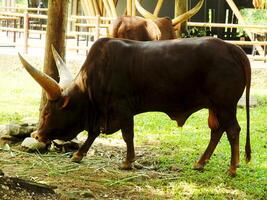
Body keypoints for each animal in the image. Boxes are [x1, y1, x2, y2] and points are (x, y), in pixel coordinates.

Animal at [18, 36, 251, 176]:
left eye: (46, 112)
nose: (37, 134)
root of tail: (231, 48)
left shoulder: (122, 109)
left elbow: (127, 135)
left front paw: (127, 162)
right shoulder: (102, 112)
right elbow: (93, 133)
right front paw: (79, 154)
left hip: (225, 105)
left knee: (232, 130)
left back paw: (232, 168)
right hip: (215, 107)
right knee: (217, 131)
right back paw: (201, 162)